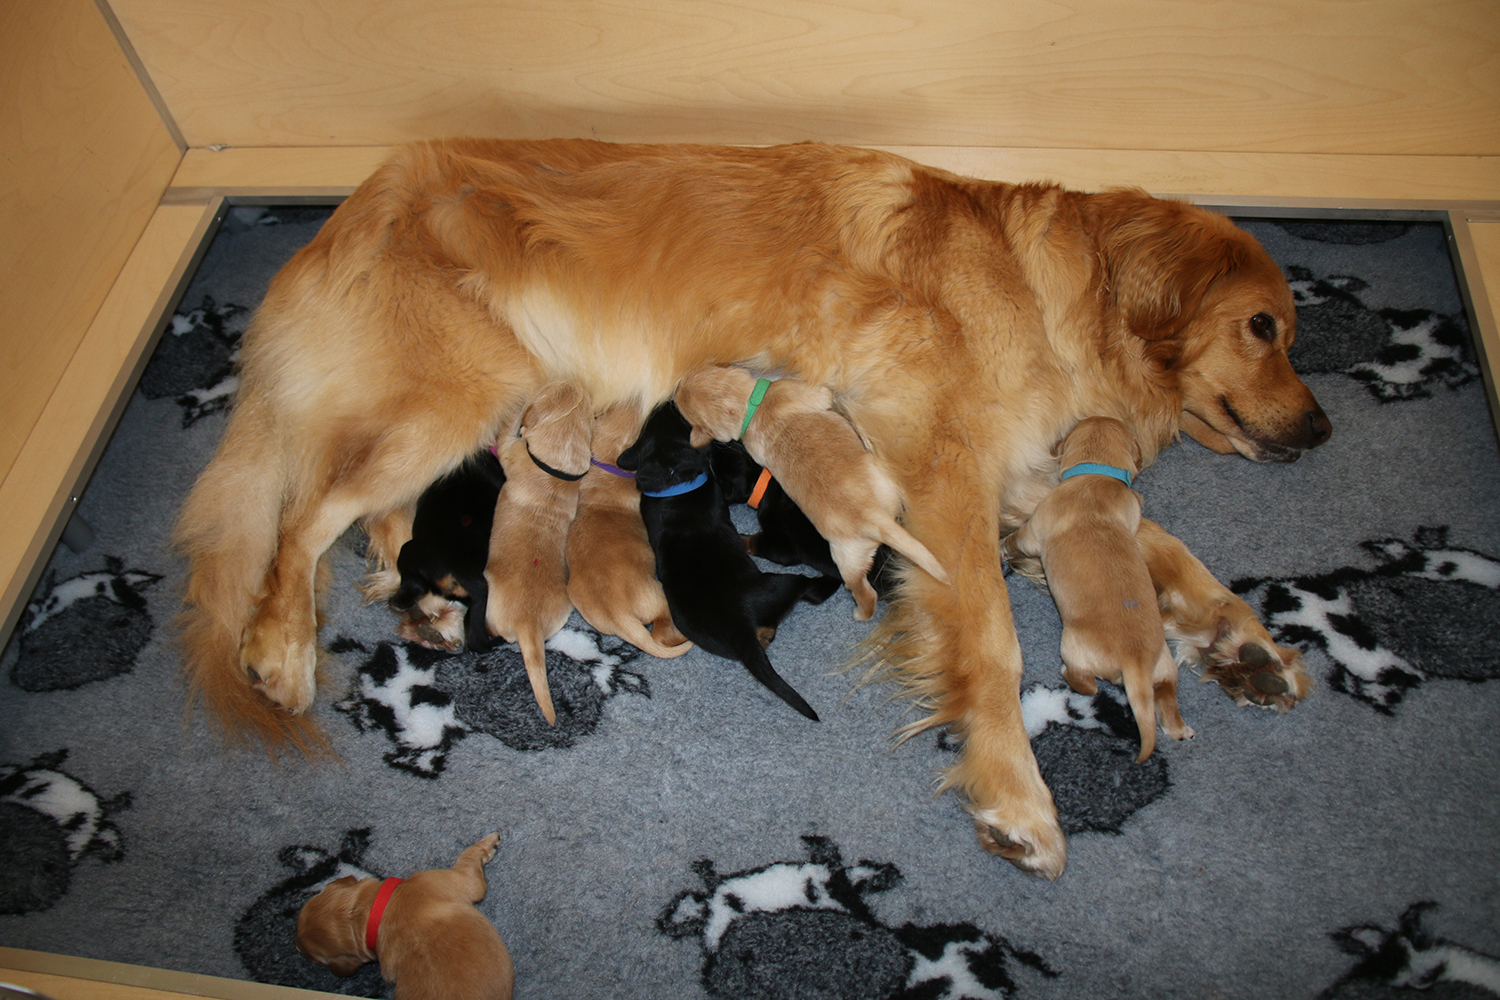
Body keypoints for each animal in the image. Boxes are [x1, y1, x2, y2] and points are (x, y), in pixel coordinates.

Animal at [296, 833, 513, 1000]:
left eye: (317, 959)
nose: (297, 948)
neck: (376, 911)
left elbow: (468, 854)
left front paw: (489, 841)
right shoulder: (465, 881)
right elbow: (468, 857)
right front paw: (489, 842)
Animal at [485, 381, 592, 725]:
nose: (573, 381)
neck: (556, 468)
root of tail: (527, 623)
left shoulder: (511, 449)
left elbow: (507, 433)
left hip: (493, 612)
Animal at [616, 401, 837, 720]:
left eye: (655, 419)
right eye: (683, 420)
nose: (668, 400)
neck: (672, 476)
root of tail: (741, 631)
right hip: (782, 582)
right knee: (808, 589)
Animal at [674, 366, 950, 621]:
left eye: (695, 374)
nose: (676, 387)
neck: (751, 410)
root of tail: (872, 515)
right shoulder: (797, 390)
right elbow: (825, 394)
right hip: (848, 557)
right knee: (865, 593)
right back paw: (860, 613)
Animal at [1001, 417, 1192, 762]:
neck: (1095, 476)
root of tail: (1135, 663)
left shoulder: (1034, 530)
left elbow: (1016, 540)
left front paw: (1003, 548)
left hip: (1073, 644)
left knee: (1086, 684)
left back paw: (1067, 675)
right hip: (1165, 664)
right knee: (1166, 694)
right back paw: (1180, 729)